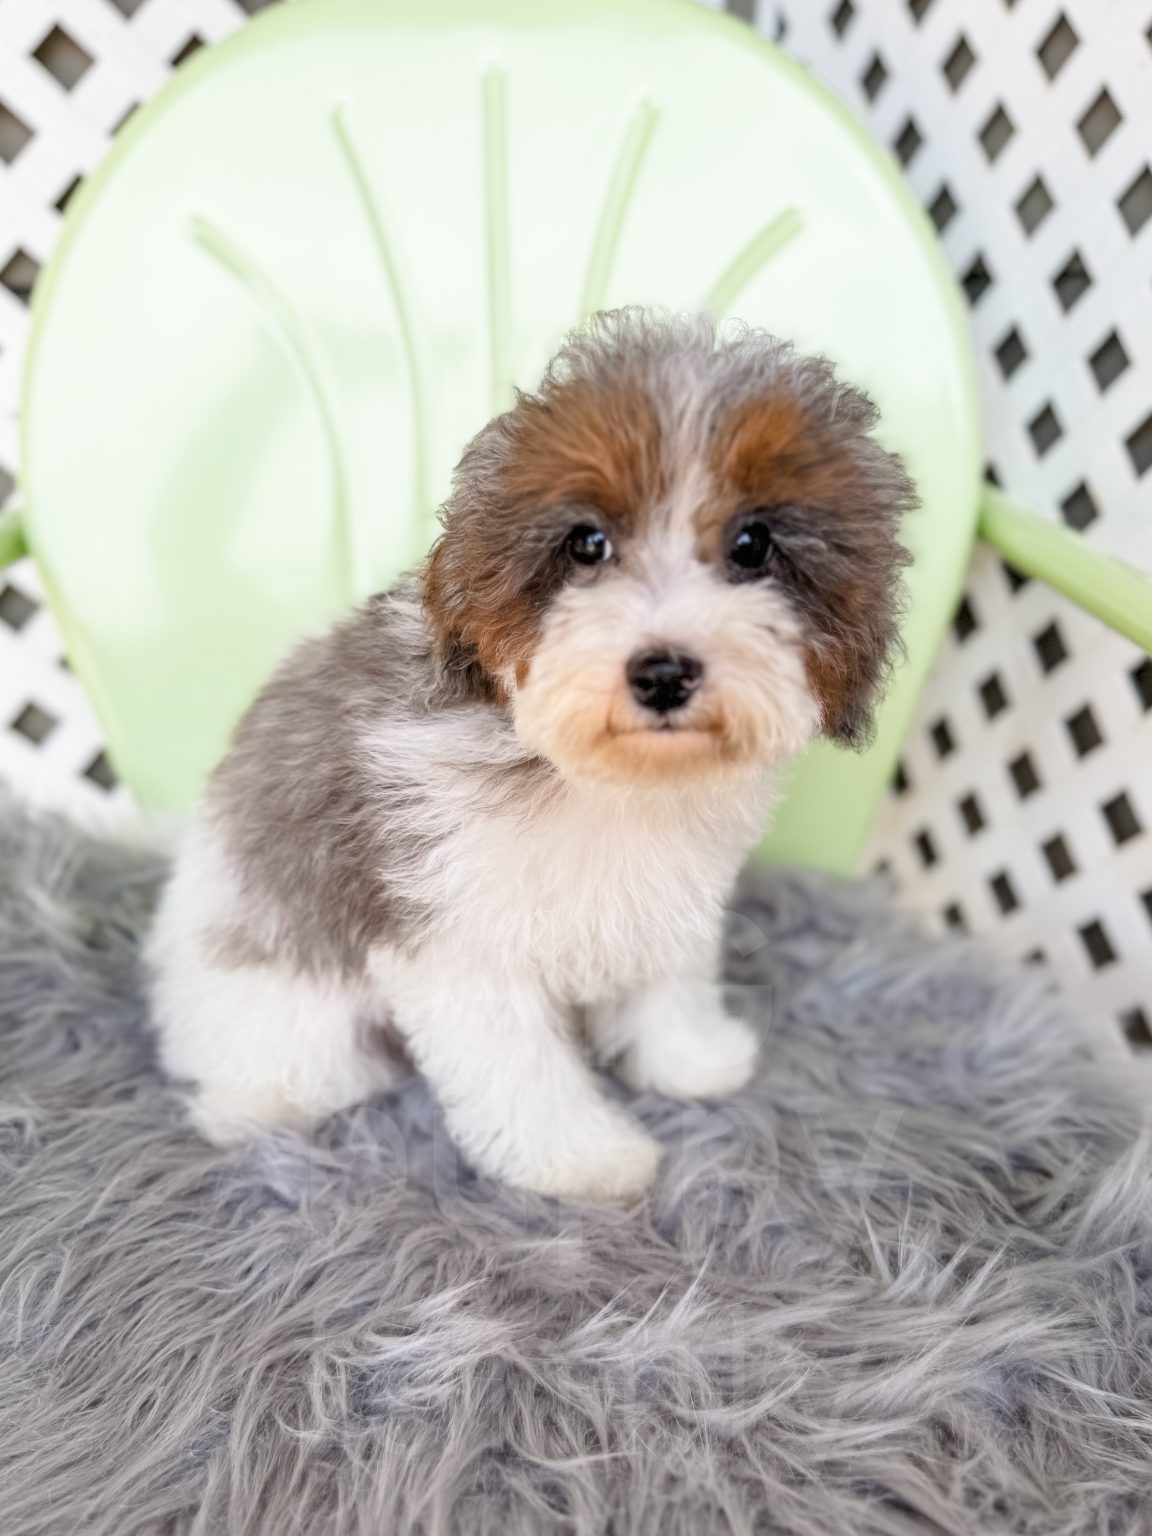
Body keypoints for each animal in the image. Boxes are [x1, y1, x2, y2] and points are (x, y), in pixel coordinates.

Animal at [148, 308, 915, 1198]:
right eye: (587, 544)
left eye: (753, 544)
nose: (662, 672)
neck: (589, 777)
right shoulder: (458, 939)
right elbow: (521, 1070)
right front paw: (582, 1156)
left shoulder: (664, 896)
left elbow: (668, 980)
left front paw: (689, 1059)